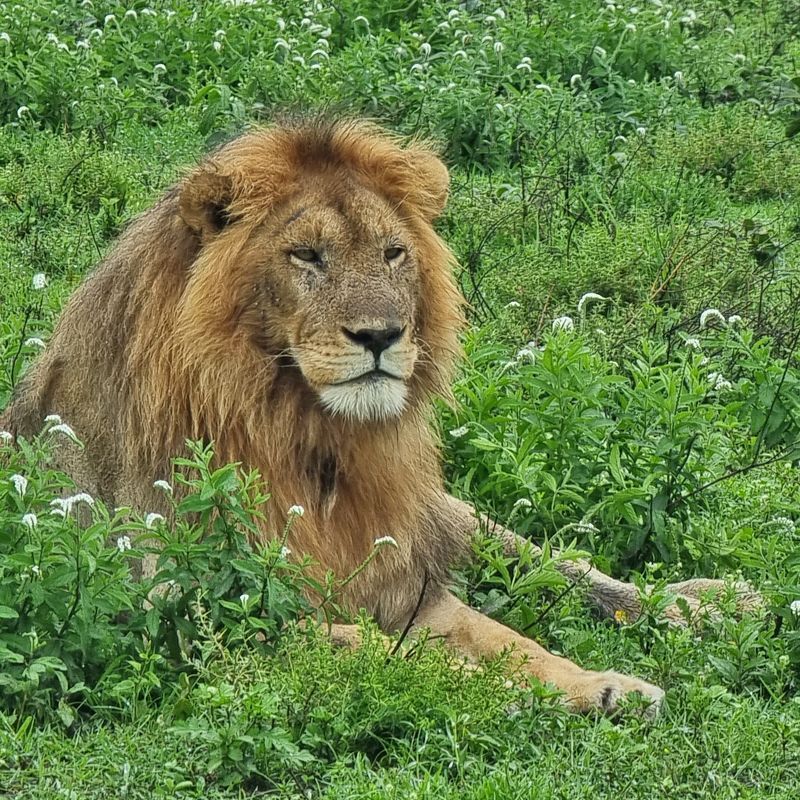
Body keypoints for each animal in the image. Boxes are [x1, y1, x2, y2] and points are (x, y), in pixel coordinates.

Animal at [0, 118, 758, 716]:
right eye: (307, 255)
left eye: (393, 253)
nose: (380, 336)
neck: (313, 443)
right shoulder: (207, 616)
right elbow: (405, 658)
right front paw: (538, 696)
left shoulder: (409, 586)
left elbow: (513, 642)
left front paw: (605, 687)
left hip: (436, 515)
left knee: (552, 562)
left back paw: (710, 603)